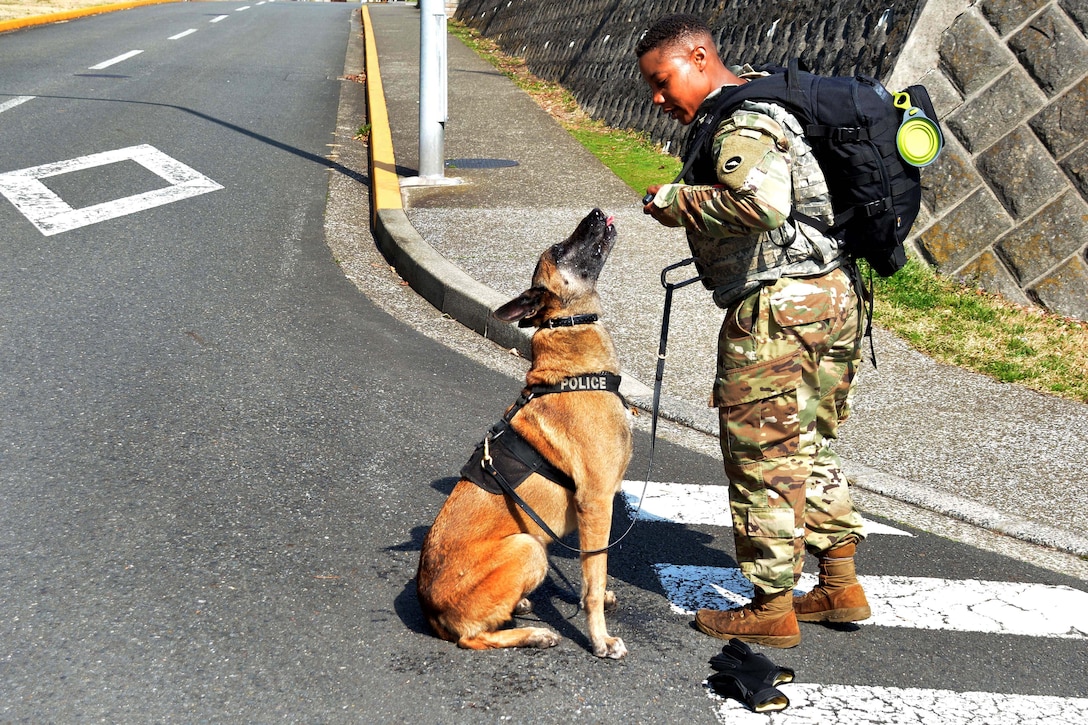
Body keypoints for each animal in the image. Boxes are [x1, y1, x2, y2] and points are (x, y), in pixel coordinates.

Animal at [417, 207, 635, 653]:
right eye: (558, 248)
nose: (597, 213)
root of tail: (430, 612)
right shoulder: (596, 501)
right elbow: (593, 578)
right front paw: (600, 637)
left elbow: (595, 569)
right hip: (529, 545)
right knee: (474, 638)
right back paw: (533, 633)